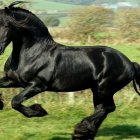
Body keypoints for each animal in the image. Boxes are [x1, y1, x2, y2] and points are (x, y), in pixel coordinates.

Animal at [0, 1, 140, 140]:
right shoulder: (12, 80)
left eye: (7, 25)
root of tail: (130, 63)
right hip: (96, 89)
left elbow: (15, 101)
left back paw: (80, 129)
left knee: (107, 108)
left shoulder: (37, 85)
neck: (33, 54)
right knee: (101, 109)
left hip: (104, 89)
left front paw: (39, 111)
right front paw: (1, 103)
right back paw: (86, 133)